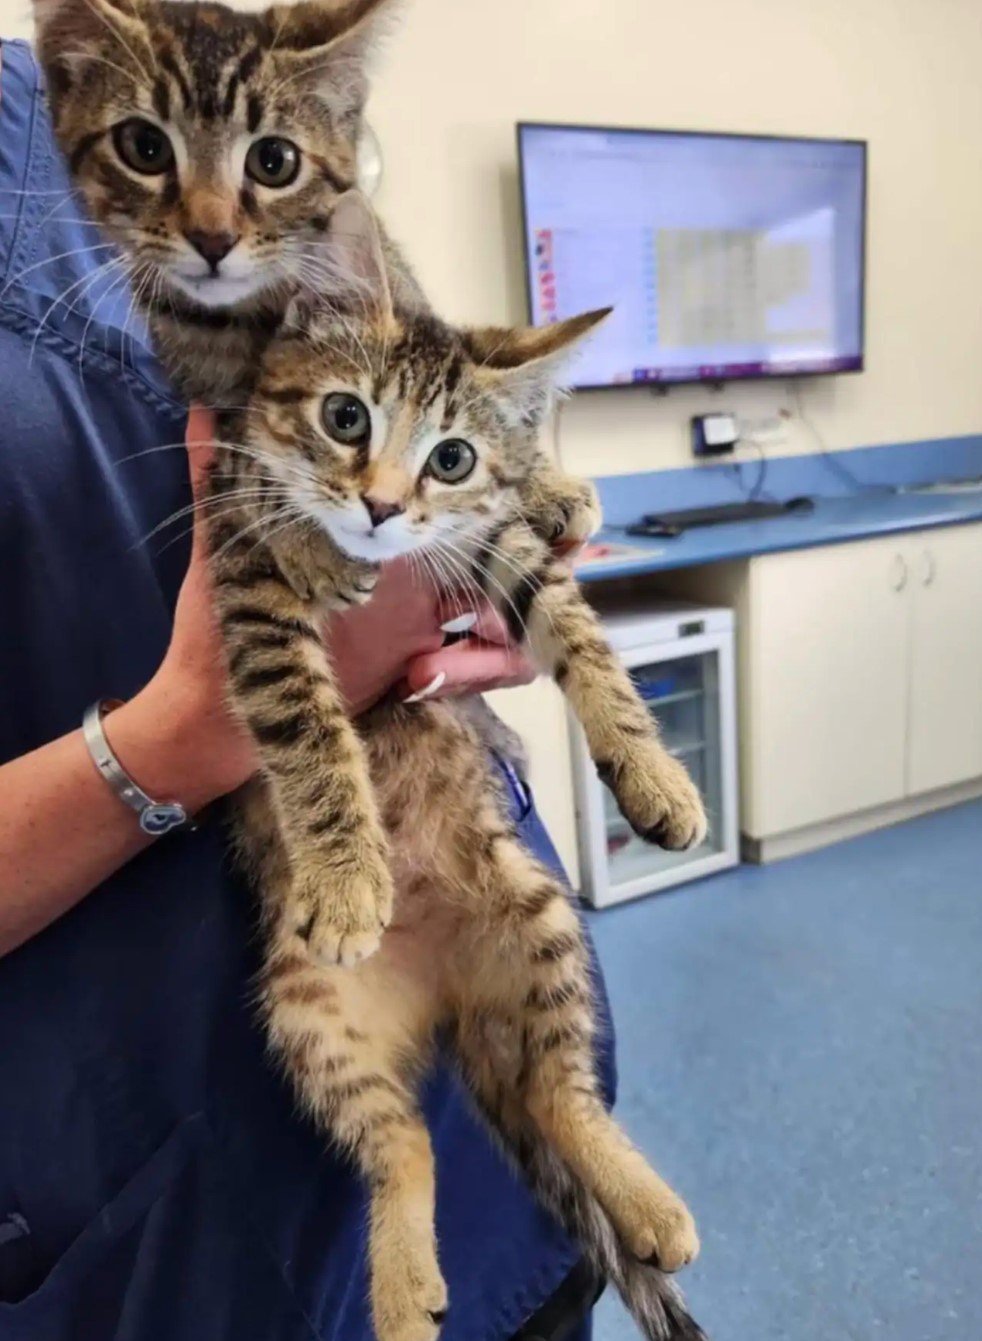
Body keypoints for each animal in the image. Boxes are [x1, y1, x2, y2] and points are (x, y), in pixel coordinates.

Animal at [209, 191, 708, 1341]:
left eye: (451, 459)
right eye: (346, 418)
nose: (383, 506)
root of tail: (443, 999)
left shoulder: (501, 555)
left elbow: (589, 649)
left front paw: (654, 775)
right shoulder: (240, 571)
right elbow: (301, 719)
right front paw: (348, 872)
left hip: (541, 922)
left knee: (557, 1092)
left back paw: (645, 1201)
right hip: (310, 1017)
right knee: (403, 1144)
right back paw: (401, 1285)